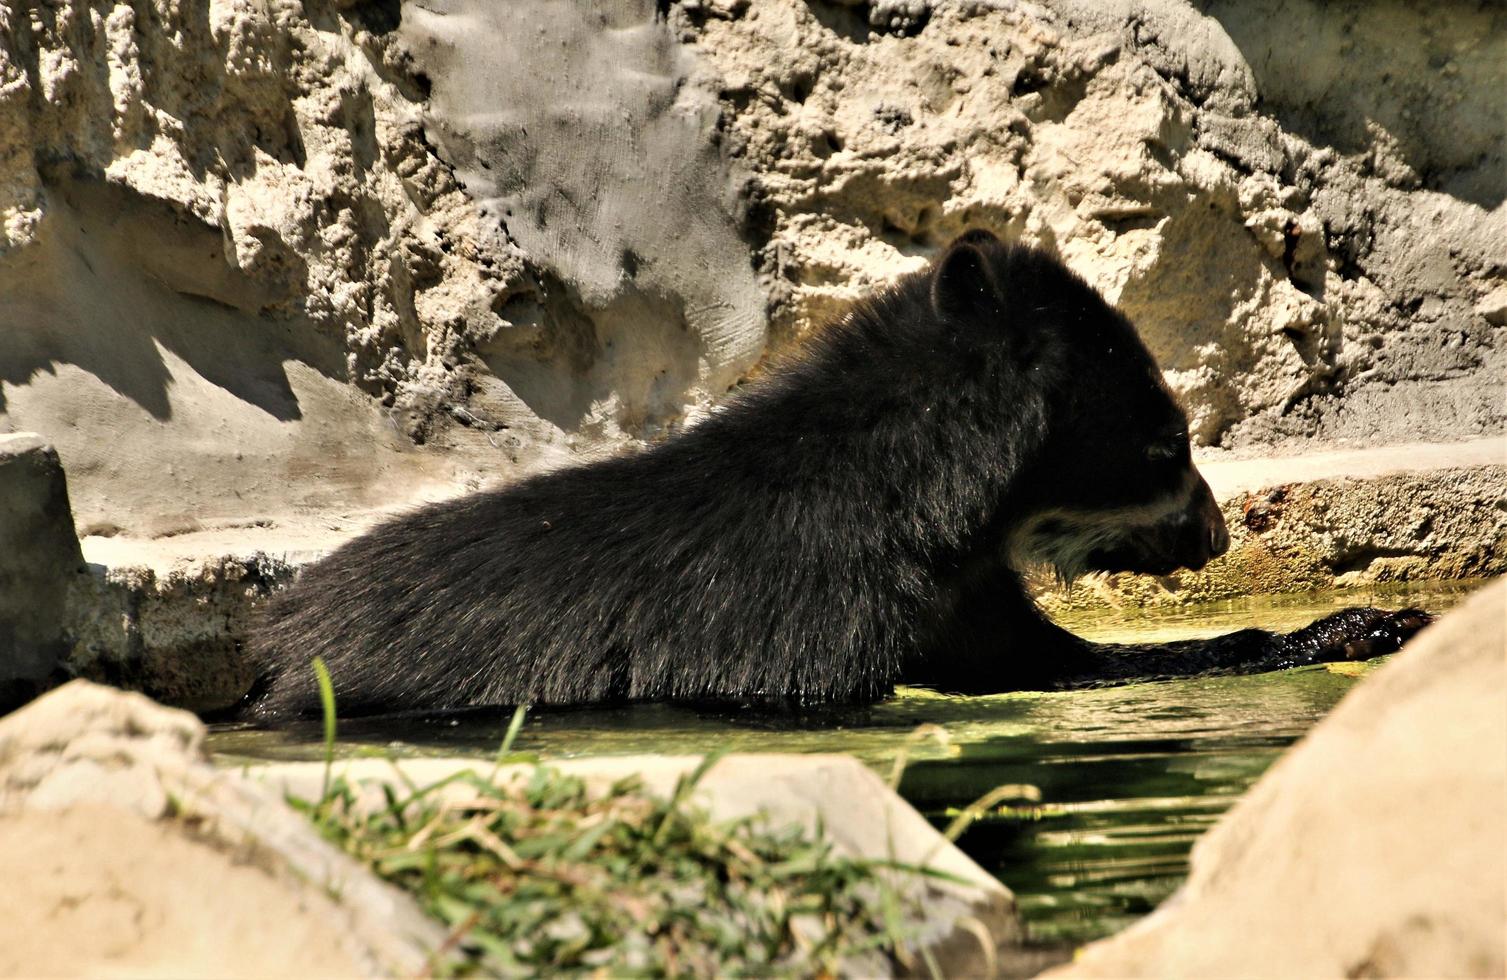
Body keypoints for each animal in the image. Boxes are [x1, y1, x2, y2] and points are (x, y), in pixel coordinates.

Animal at [241, 229, 1428, 717]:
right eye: (1167, 447)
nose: (1215, 534)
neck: (929, 504)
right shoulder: (792, 612)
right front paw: (1369, 621)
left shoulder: (956, 589)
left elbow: (1049, 661)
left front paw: (1373, 621)